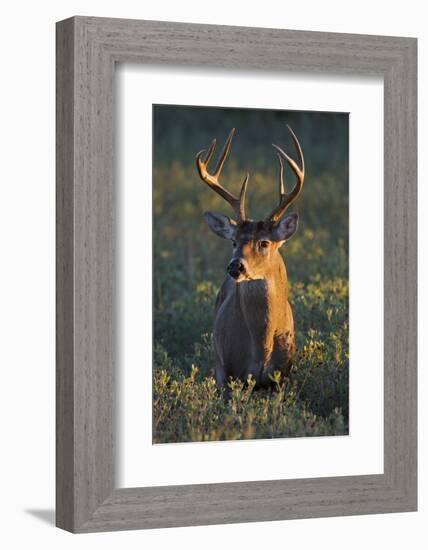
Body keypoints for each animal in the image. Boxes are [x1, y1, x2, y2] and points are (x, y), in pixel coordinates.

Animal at [196, 127, 306, 390]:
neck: (260, 348)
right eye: (234, 241)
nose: (235, 265)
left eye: (264, 242)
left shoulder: (282, 375)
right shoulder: (227, 372)